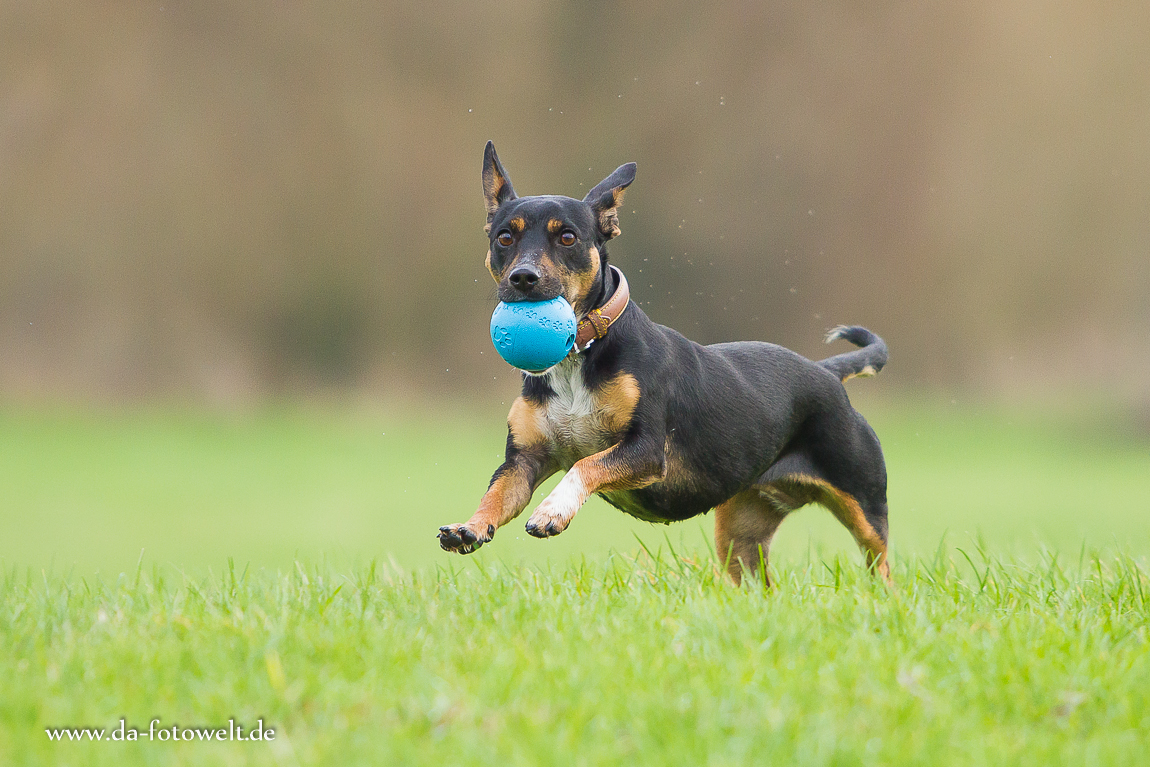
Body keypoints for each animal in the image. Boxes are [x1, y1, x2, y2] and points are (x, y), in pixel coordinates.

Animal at [434, 143, 892, 584]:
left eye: (567, 237)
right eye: (504, 238)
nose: (523, 278)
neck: (579, 355)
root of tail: (827, 373)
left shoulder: (647, 450)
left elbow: (586, 464)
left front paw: (553, 510)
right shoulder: (525, 460)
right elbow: (497, 492)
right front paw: (470, 526)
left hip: (865, 505)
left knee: (882, 567)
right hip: (741, 532)